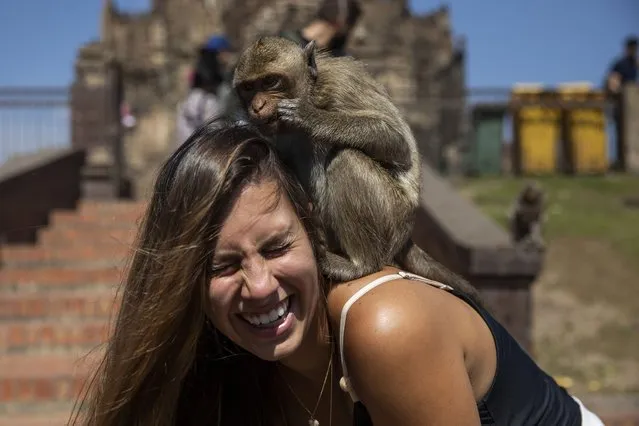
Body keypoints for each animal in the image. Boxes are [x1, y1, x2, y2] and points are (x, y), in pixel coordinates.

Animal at [230, 36, 480, 302]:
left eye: (270, 81)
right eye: (248, 88)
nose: (257, 106)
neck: (312, 89)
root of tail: (405, 236)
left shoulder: (342, 83)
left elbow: (397, 142)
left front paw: (312, 117)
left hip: (391, 216)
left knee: (347, 158)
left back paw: (361, 264)